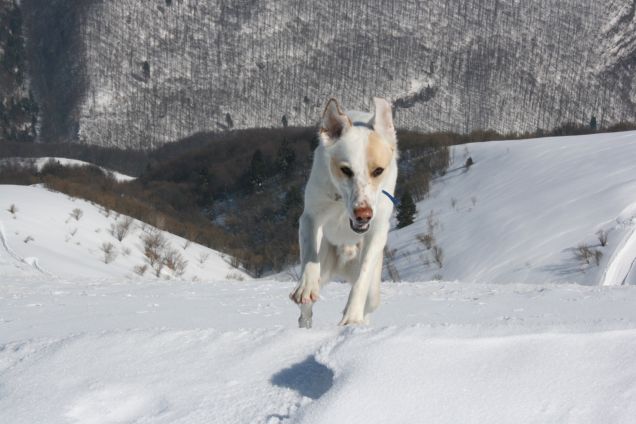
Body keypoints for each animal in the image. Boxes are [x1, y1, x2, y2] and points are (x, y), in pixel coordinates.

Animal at [290, 97, 398, 328]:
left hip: (374, 292)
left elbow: (362, 279)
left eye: (378, 171)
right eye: (346, 170)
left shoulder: (378, 229)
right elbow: (310, 253)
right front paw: (306, 287)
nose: (363, 214)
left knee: (370, 301)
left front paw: (352, 316)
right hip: (325, 265)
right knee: (306, 311)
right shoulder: (310, 217)